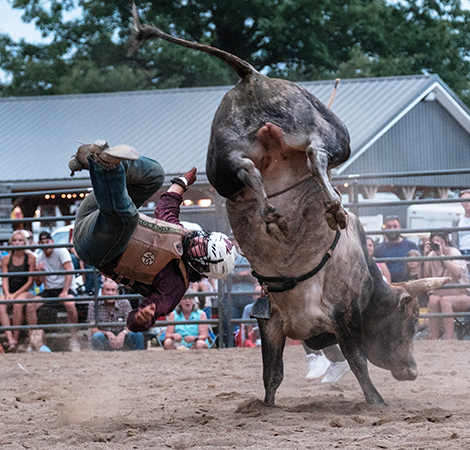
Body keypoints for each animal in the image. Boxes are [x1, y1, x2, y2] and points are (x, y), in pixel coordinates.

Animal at [130, 7, 450, 406]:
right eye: (411, 320)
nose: (412, 371)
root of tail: (254, 78)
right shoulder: (334, 317)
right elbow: (350, 362)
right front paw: (377, 401)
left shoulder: (274, 322)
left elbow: (276, 374)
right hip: (329, 133)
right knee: (315, 153)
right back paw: (327, 208)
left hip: (223, 161)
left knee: (250, 168)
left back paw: (276, 215)